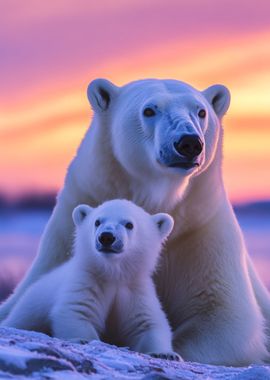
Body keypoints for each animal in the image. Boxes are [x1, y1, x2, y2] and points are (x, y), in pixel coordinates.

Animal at [0, 78, 270, 366]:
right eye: (149, 110)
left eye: (201, 111)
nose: (188, 143)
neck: (157, 200)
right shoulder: (70, 225)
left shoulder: (201, 231)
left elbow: (226, 318)